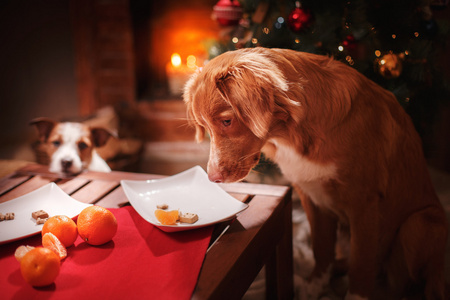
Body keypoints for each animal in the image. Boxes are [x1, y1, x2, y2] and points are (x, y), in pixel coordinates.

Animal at [183, 48, 446, 298]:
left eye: (227, 121)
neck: (294, 134)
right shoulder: (311, 196)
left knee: (418, 284)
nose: (213, 177)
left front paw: (355, 295)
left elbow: (361, 264)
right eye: (204, 127)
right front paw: (315, 284)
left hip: (419, 223)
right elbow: (321, 248)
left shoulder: (365, 203)